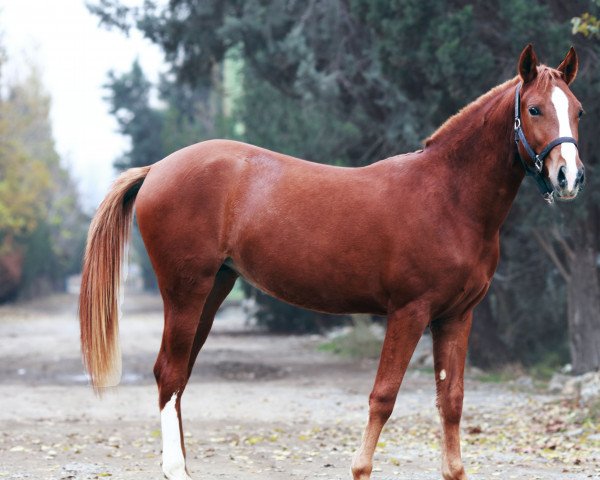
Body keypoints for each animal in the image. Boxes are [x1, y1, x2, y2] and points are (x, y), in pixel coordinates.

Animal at [77, 43, 584, 478]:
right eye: (534, 109)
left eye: (577, 110)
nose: (569, 177)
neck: (448, 197)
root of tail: (157, 168)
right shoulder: (409, 313)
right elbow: (384, 396)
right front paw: (360, 468)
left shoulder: (457, 317)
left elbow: (452, 399)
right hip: (186, 292)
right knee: (169, 372)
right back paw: (175, 468)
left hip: (214, 290)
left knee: (179, 374)